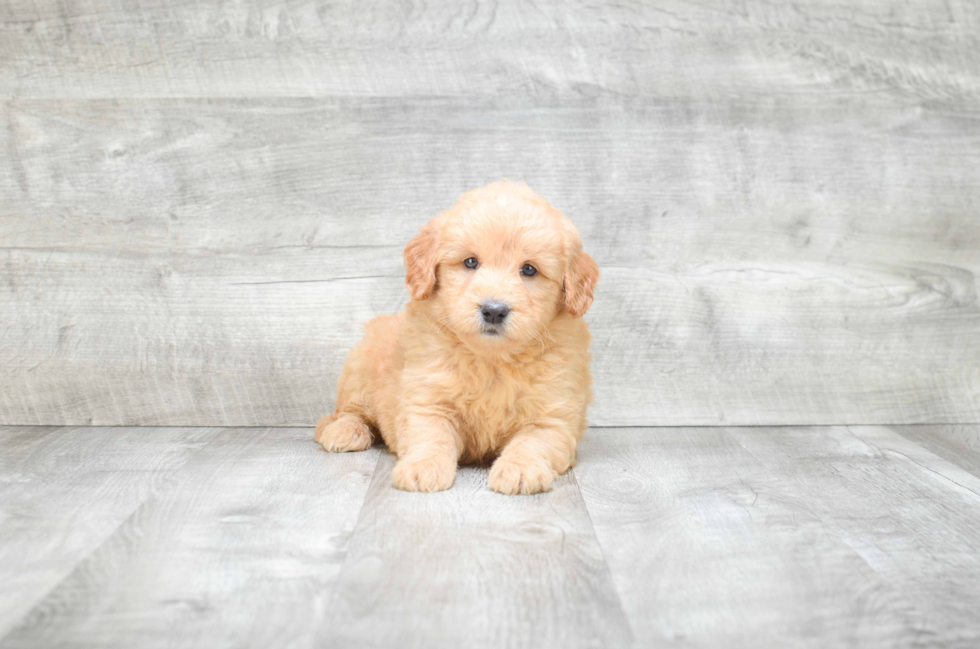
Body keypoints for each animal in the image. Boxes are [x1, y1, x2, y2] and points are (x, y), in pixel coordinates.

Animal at [318, 180, 600, 494]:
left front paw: (519, 469)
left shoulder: (554, 416)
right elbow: (432, 435)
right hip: (360, 370)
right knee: (348, 411)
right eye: (470, 262)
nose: (493, 310)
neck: (492, 360)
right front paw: (424, 467)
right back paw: (345, 431)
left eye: (529, 269)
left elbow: (532, 442)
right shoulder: (427, 400)